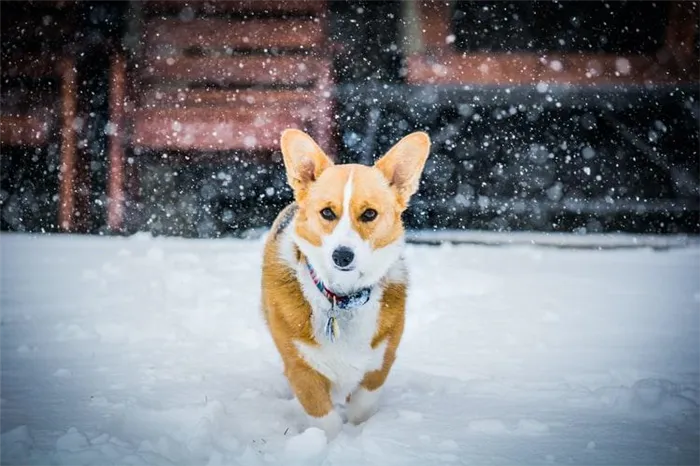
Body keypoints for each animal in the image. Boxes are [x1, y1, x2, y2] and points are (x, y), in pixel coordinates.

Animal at [260, 129, 430, 438]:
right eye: (327, 213)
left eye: (369, 214)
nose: (342, 255)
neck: (341, 296)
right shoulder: (301, 368)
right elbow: (325, 421)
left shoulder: (379, 363)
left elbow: (362, 408)